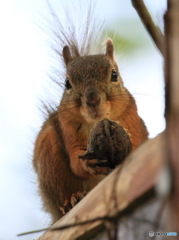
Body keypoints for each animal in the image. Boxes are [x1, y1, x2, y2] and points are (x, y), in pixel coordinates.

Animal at [32, 5, 148, 224]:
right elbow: (76, 161)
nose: (92, 99)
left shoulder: (131, 117)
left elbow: (137, 146)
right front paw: (88, 163)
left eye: (114, 75)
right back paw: (72, 201)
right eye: (67, 83)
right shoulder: (67, 127)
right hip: (50, 158)